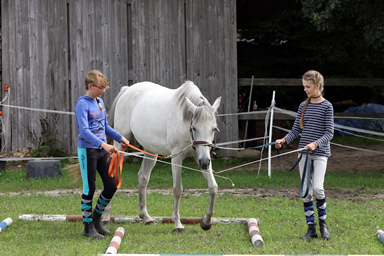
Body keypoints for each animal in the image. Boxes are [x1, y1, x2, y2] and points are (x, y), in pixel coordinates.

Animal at [105, 81, 220, 233]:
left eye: (214, 129)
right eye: (194, 128)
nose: (205, 163)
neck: (184, 120)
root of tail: (127, 90)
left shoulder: (200, 156)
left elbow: (213, 187)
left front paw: (206, 222)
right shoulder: (177, 158)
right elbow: (177, 189)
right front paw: (178, 224)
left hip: (150, 150)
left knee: (143, 177)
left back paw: (146, 217)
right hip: (120, 145)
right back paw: (106, 217)